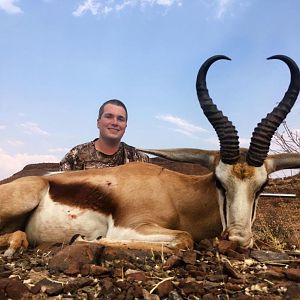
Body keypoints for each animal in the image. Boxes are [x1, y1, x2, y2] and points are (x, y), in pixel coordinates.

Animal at [0, 55, 300, 256]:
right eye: (219, 181)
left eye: (262, 186)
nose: (238, 239)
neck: (175, 194)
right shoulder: (129, 227)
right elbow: (184, 238)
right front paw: (83, 240)